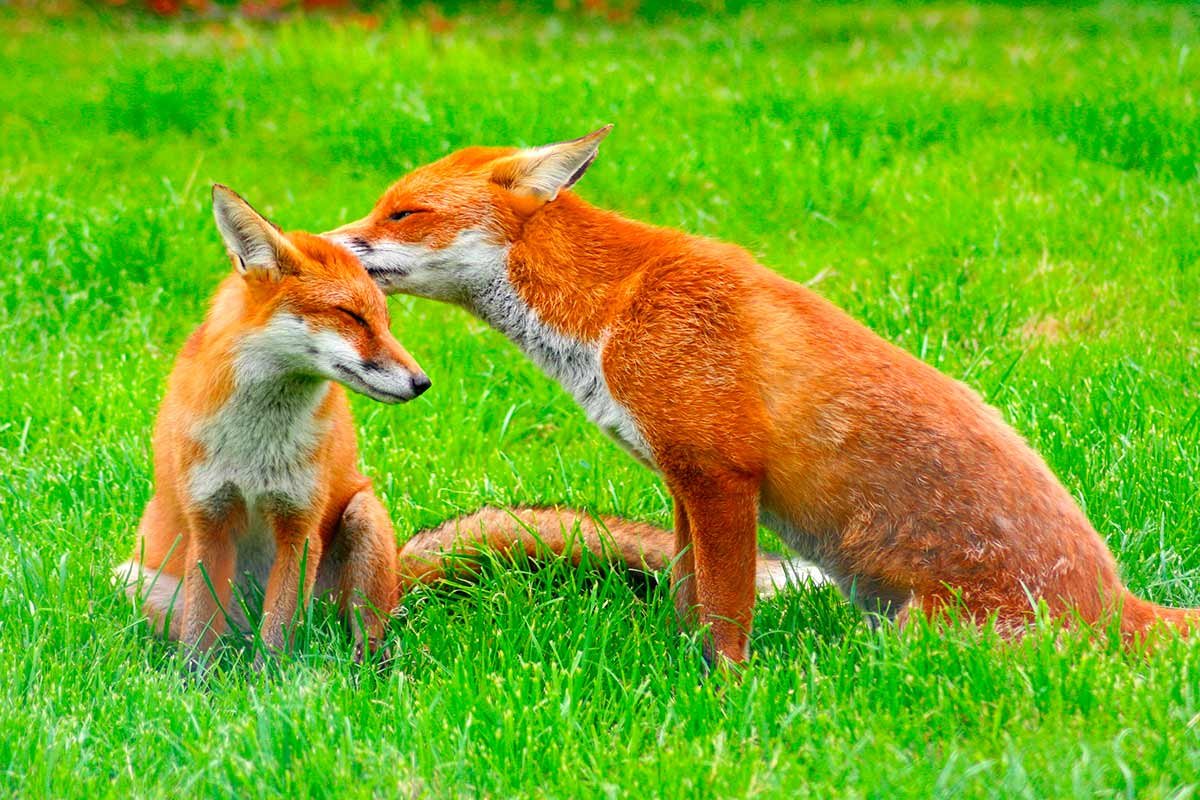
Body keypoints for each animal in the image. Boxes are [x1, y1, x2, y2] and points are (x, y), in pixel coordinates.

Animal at [327, 125, 1198, 664]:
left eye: (403, 211)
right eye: (381, 205)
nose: (318, 245)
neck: (610, 312)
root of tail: (1119, 606)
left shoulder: (722, 476)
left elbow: (728, 613)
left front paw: (725, 691)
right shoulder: (682, 480)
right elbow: (688, 598)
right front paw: (679, 671)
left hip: (914, 636)